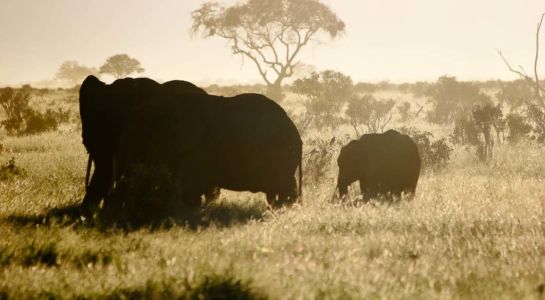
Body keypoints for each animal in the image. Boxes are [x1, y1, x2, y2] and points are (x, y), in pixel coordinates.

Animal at [116, 92, 302, 207]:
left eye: (144, 132)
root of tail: (296, 134)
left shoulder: (196, 149)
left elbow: (190, 186)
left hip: (280, 156)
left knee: (284, 187)